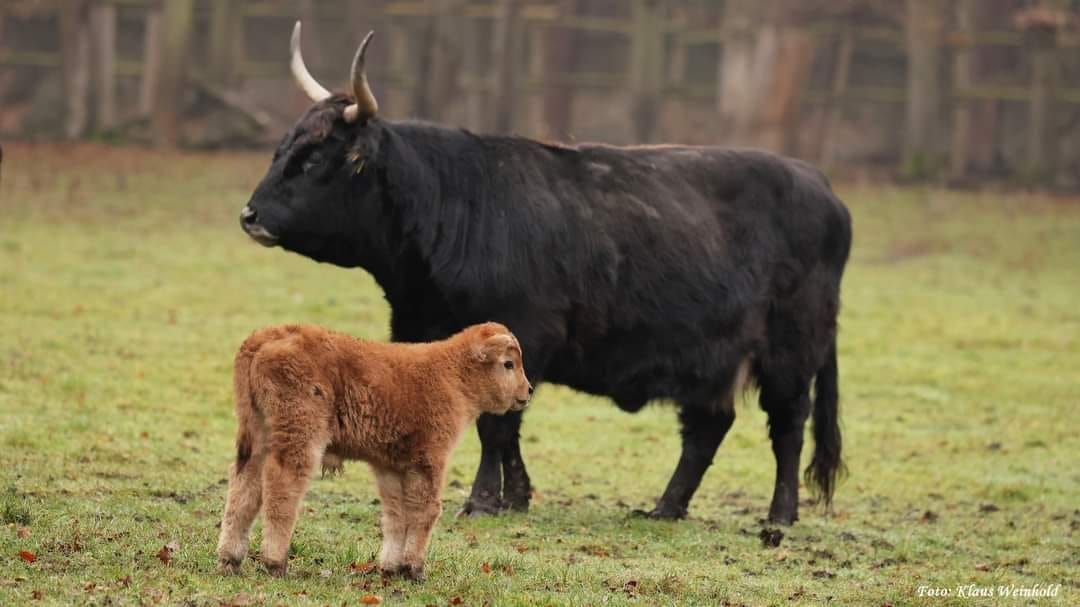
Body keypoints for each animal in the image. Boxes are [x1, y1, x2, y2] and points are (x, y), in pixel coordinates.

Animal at [214, 321, 531, 574]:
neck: (452, 373)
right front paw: (414, 570)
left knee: (244, 485)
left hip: (259, 434)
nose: (527, 391)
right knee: (282, 485)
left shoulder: (390, 466)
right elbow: (426, 510)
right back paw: (275, 563)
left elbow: (395, 515)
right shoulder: (430, 459)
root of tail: (268, 335)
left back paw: (230, 560)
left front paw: (391, 568)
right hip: (300, 436)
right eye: (508, 363)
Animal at [243, 23, 851, 522]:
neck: (453, 207)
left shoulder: (521, 332)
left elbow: (497, 424)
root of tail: (820, 185)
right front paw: (515, 496)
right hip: (713, 359)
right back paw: (666, 507)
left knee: (788, 426)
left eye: (315, 160)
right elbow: (502, 421)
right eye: (281, 149)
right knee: (708, 427)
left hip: (790, 350)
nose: (250, 215)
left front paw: (483, 500)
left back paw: (779, 516)